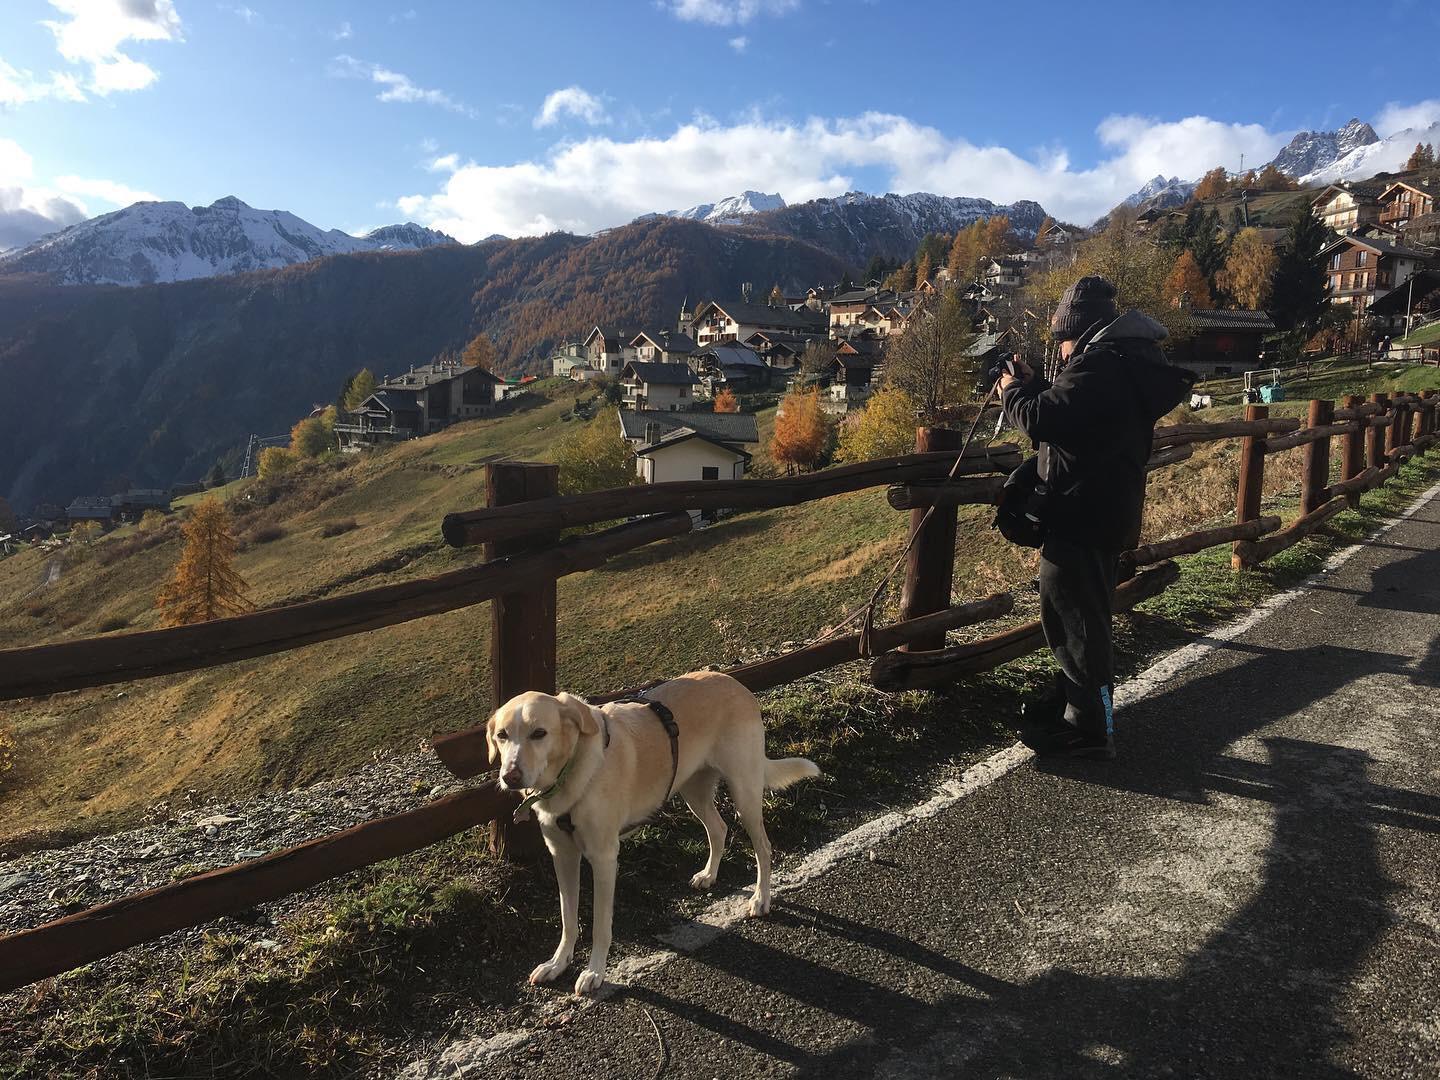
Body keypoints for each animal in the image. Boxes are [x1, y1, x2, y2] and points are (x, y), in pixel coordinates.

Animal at [486, 676, 817, 996]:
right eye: (502, 735)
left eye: (539, 733)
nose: (510, 777)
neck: (570, 770)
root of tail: (736, 684)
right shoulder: (562, 855)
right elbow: (568, 919)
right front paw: (557, 964)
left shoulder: (604, 858)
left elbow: (600, 926)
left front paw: (594, 972)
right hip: (693, 789)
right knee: (718, 829)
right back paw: (709, 874)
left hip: (744, 791)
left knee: (763, 846)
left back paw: (761, 897)